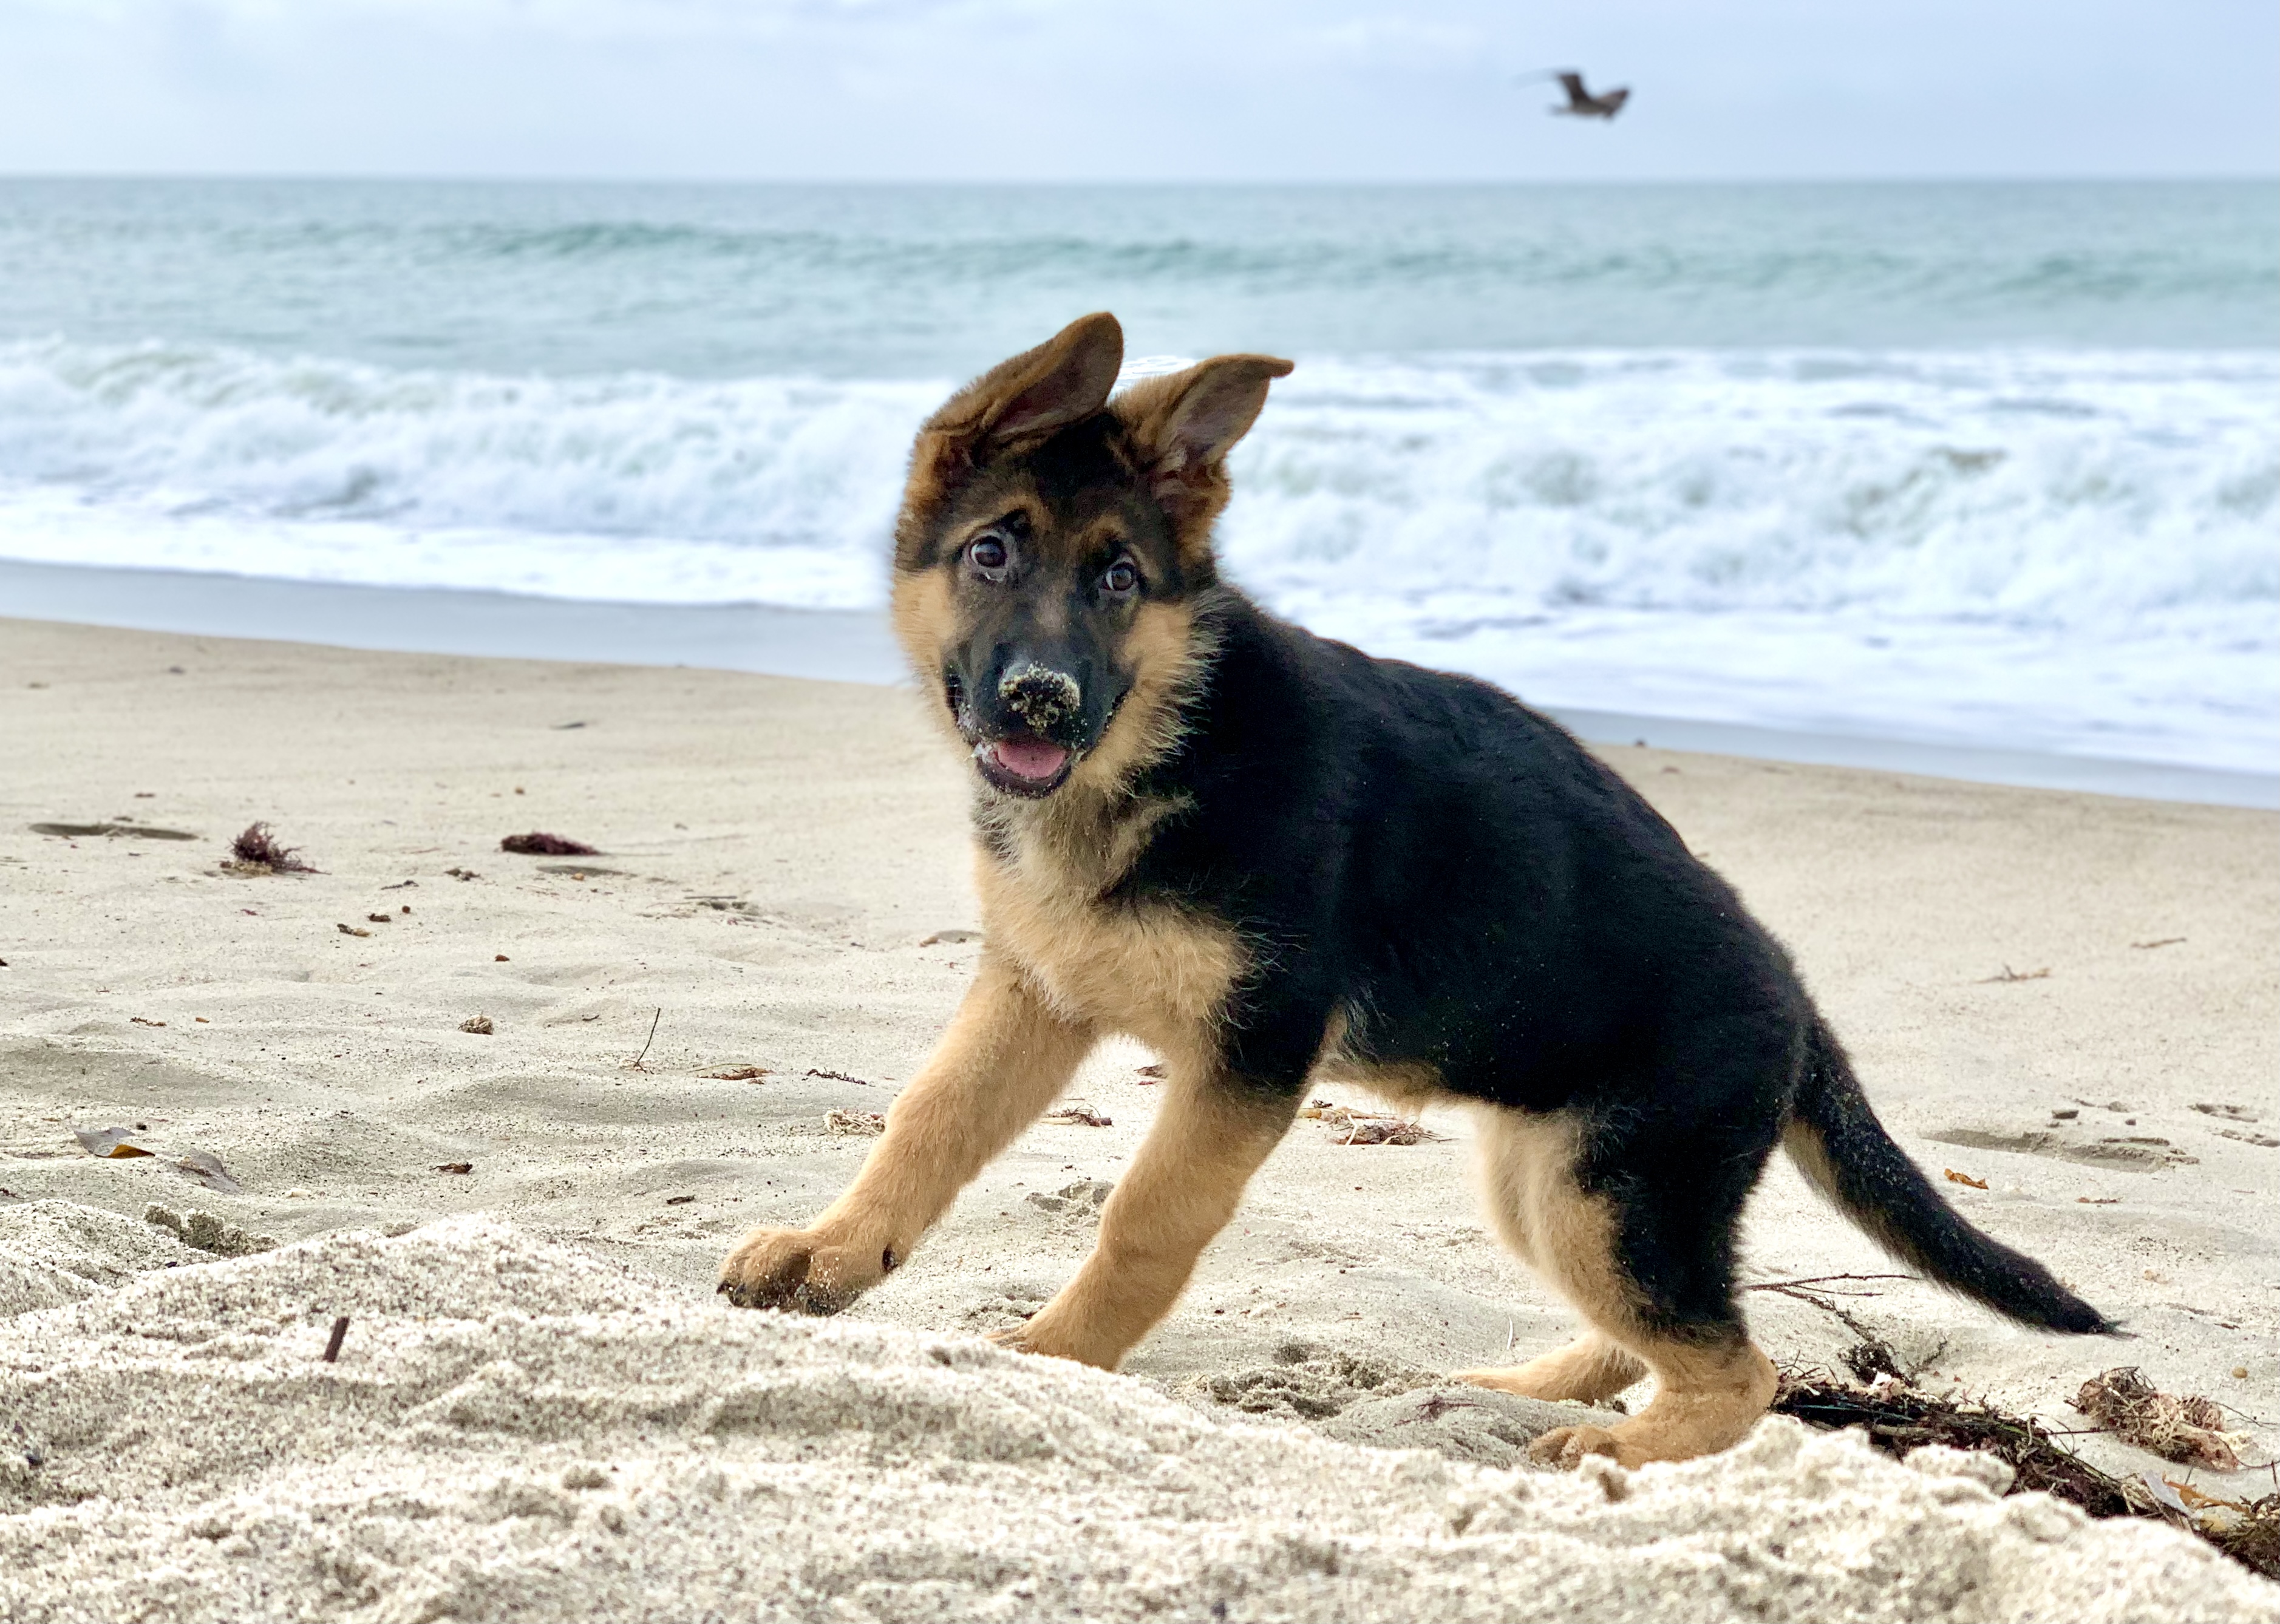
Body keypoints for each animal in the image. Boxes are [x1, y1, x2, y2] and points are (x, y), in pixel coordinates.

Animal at [720, 310, 2106, 1469]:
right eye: (992, 552)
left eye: (1119, 579)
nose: (1041, 703)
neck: (1160, 748)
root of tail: (1799, 999)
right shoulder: (1035, 994)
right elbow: (925, 1124)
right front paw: (830, 1256)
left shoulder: (1252, 1051)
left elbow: (1144, 1217)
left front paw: (1056, 1361)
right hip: (1550, 1186)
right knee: (1669, 1337)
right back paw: (1540, 1388)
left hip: (1603, 1191)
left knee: (1742, 1370)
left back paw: (1613, 1448)